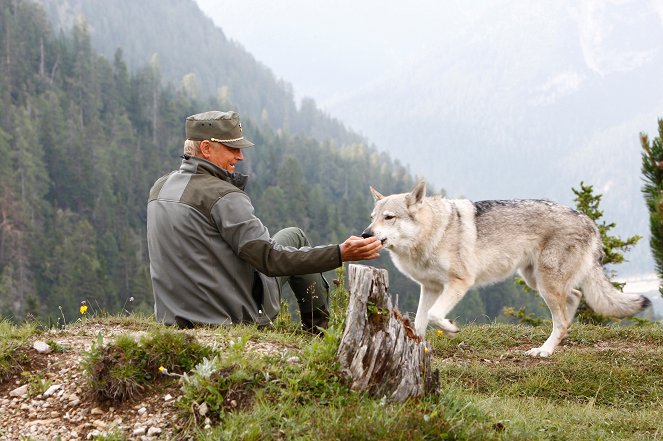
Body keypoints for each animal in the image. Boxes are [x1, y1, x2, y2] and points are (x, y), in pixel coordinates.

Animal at [360, 180, 652, 356]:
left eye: (389, 217)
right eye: (372, 218)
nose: (365, 234)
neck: (433, 233)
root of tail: (589, 221)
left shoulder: (459, 282)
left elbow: (434, 316)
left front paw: (451, 328)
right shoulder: (429, 287)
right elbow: (420, 322)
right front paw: (419, 351)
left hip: (545, 284)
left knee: (563, 319)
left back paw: (544, 351)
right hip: (537, 280)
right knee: (574, 300)